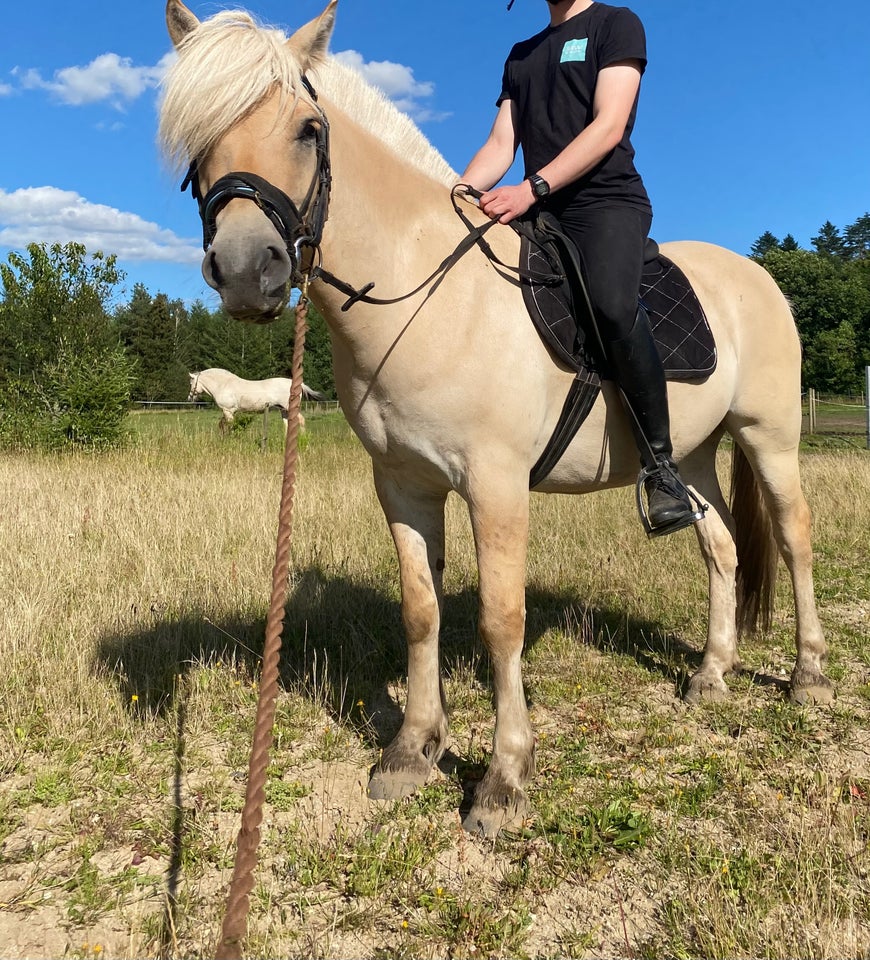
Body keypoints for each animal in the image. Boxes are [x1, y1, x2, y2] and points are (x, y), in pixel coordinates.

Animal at [189, 366, 326, 434]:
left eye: (191, 383)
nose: (190, 397)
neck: (223, 384)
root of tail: (298, 385)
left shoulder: (228, 410)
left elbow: (229, 426)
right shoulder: (228, 411)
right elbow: (223, 425)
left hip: (290, 408)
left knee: (301, 420)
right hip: (283, 410)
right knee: (287, 425)